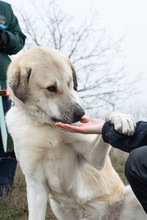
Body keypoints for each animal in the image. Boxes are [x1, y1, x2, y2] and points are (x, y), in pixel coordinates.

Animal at [5, 46, 147, 220]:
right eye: (51, 88)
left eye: (69, 83)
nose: (81, 114)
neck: (47, 127)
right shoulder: (35, 183)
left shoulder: (94, 159)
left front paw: (120, 117)